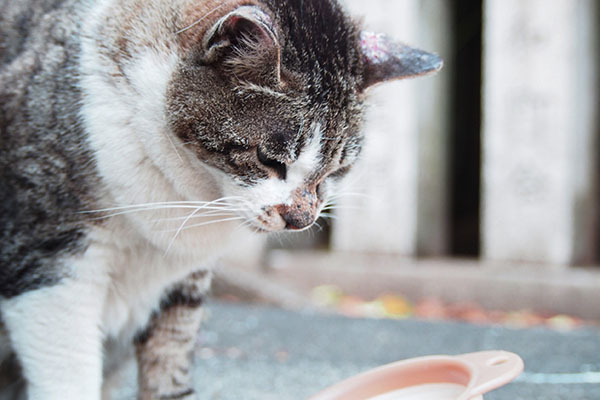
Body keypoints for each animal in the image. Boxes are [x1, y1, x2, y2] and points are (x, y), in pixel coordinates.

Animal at [0, 0, 440, 398]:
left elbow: (169, 362)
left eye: (335, 171)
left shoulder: (183, 282)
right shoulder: (52, 264)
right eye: (270, 159)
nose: (300, 219)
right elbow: (68, 370)